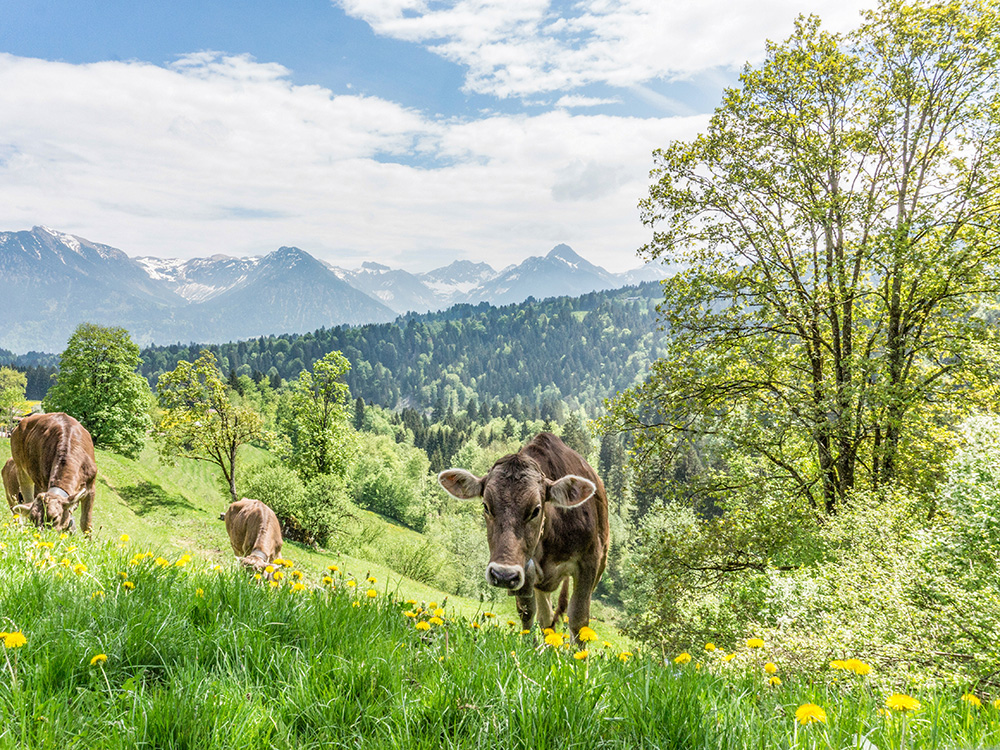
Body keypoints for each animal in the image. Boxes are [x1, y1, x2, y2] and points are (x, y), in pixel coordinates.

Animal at [442, 434, 612, 640]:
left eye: (536, 510)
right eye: (486, 506)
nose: (503, 574)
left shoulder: (589, 563)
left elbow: (579, 620)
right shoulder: (524, 570)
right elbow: (527, 612)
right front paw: (530, 644)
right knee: (546, 618)